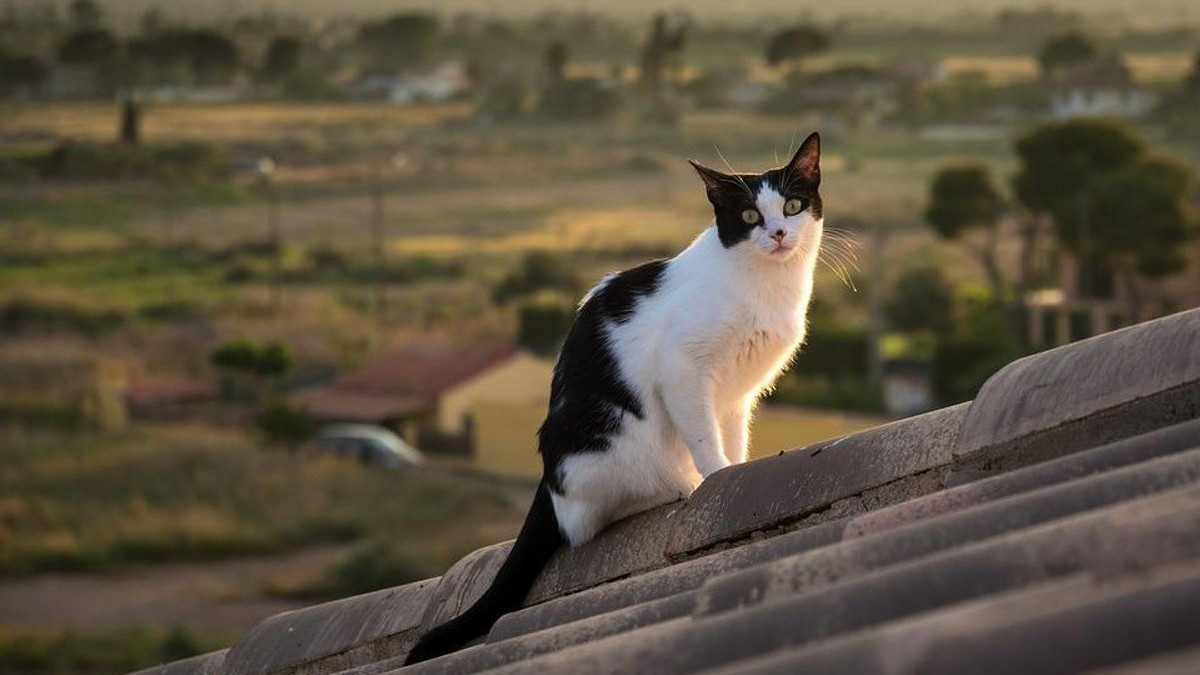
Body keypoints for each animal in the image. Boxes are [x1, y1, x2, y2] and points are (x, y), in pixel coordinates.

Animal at [403, 131, 825, 662]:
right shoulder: (683, 372)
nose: (778, 234)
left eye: (792, 206)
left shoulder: (735, 395)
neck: (763, 283)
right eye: (749, 216)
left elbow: (731, 437)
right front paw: (716, 475)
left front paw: (738, 467)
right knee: (585, 518)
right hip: (608, 437)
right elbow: (705, 440)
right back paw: (675, 485)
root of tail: (546, 480)